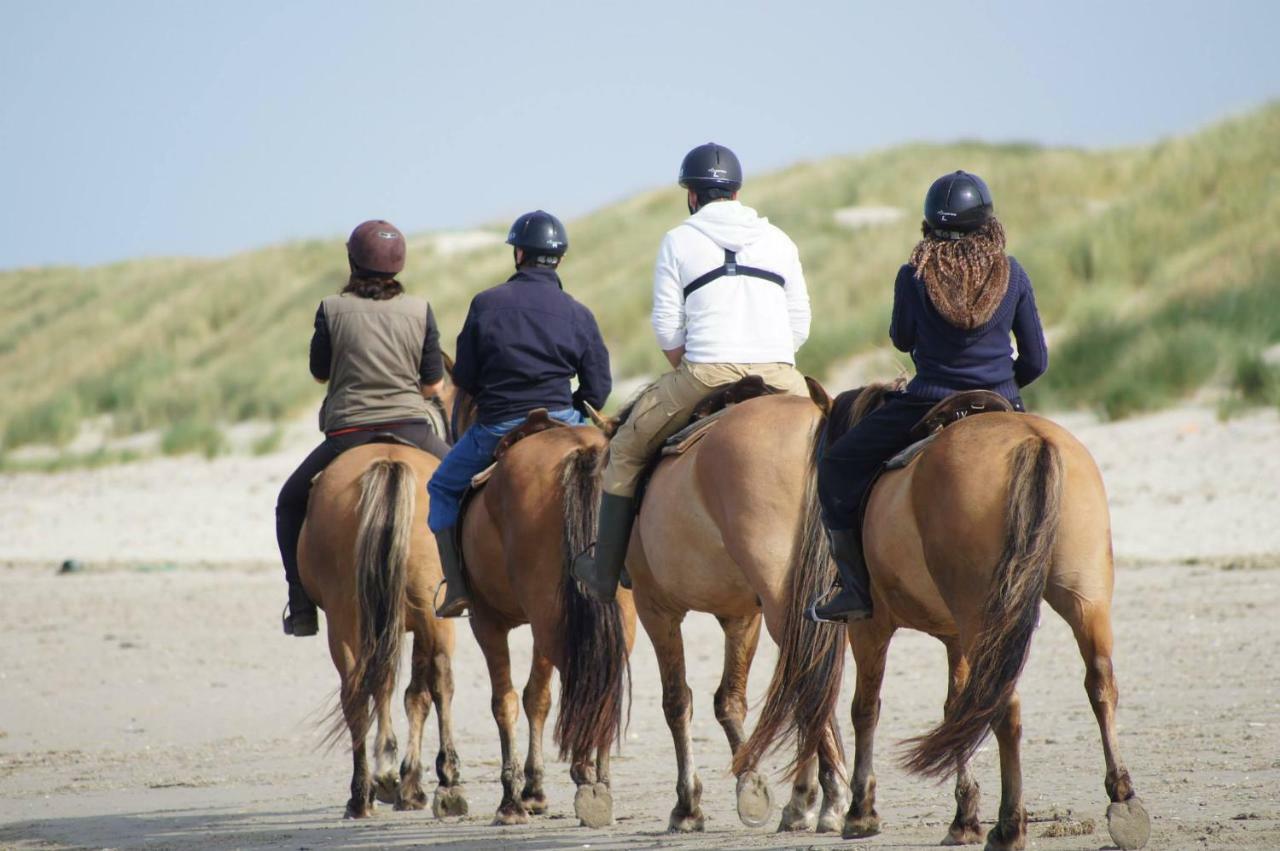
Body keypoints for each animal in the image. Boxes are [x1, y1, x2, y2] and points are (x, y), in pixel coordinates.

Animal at [296, 371, 468, 819]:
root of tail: (391, 464)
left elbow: (400, 690)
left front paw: (400, 779)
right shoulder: (423, 621)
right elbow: (418, 694)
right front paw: (412, 782)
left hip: (347, 618)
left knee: (360, 689)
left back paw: (367, 788)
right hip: (427, 615)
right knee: (430, 681)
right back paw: (436, 782)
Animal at [453, 396, 637, 824]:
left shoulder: (486, 623)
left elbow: (504, 701)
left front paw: (512, 799)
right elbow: (537, 697)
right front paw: (534, 790)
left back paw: (585, 779)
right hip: (598, 612)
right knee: (601, 678)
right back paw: (599, 780)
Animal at [596, 389, 855, 834]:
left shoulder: (656, 608)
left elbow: (677, 701)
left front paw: (688, 805)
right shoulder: (741, 615)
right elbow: (729, 700)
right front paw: (757, 788)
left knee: (808, 684)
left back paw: (831, 798)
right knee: (813, 685)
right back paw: (815, 799)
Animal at [742, 383, 1152, 849]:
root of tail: (1033, 440)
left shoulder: (869, 628)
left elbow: (866, 708)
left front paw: (862, 812)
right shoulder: (956, 637)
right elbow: (956, 708)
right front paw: (964, 817)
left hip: (987, 619)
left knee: (1004, 705)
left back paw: (1010, 826)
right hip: (1084, 599)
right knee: (1099, 683)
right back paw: (1123, 800)